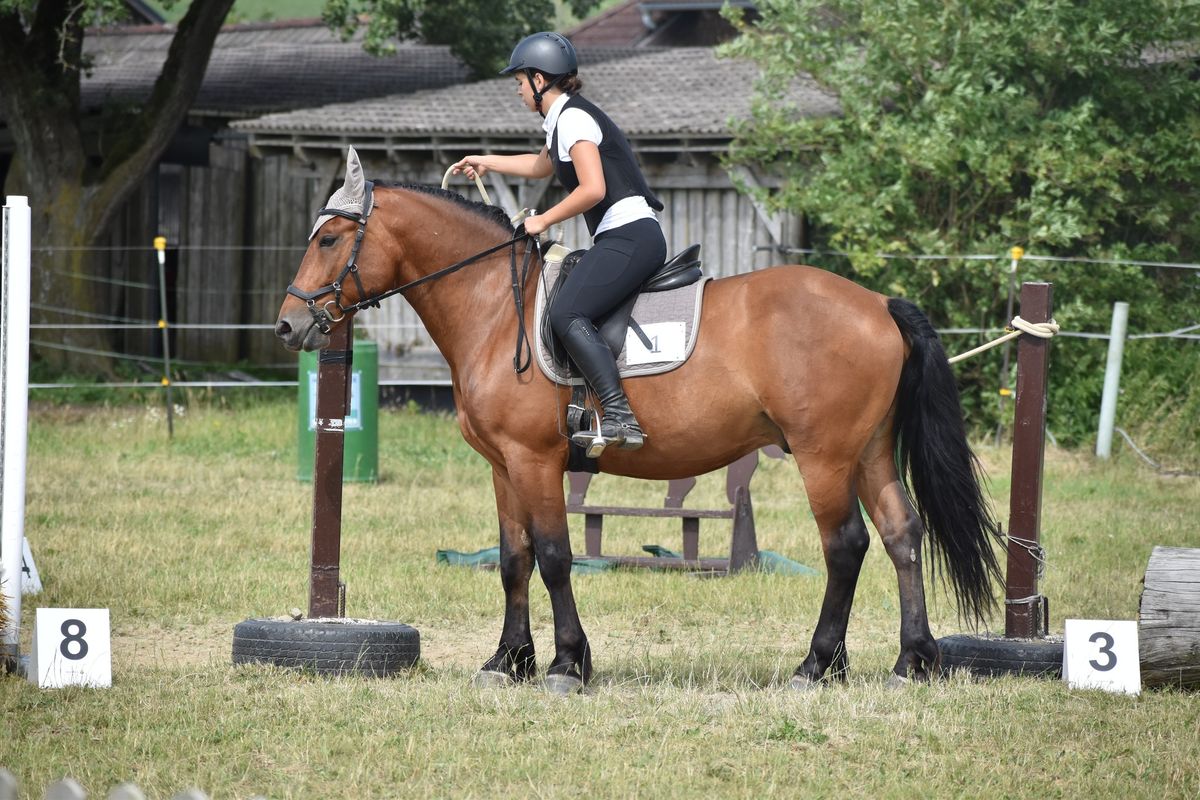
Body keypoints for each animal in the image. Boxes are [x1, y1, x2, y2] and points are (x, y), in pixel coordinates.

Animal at [276, 149, 998, 695]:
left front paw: (567, 664)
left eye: (330, 239)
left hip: (824, 457)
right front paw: (508, 661)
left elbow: (555, 556)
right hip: (868, 452)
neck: (495, 308)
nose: (287, 326)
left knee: (845, 546)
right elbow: (513, 560)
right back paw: (912, 660)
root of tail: (877, 303)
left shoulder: (536, 461)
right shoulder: (504, 467)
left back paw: (817, 666)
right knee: (903, 535)